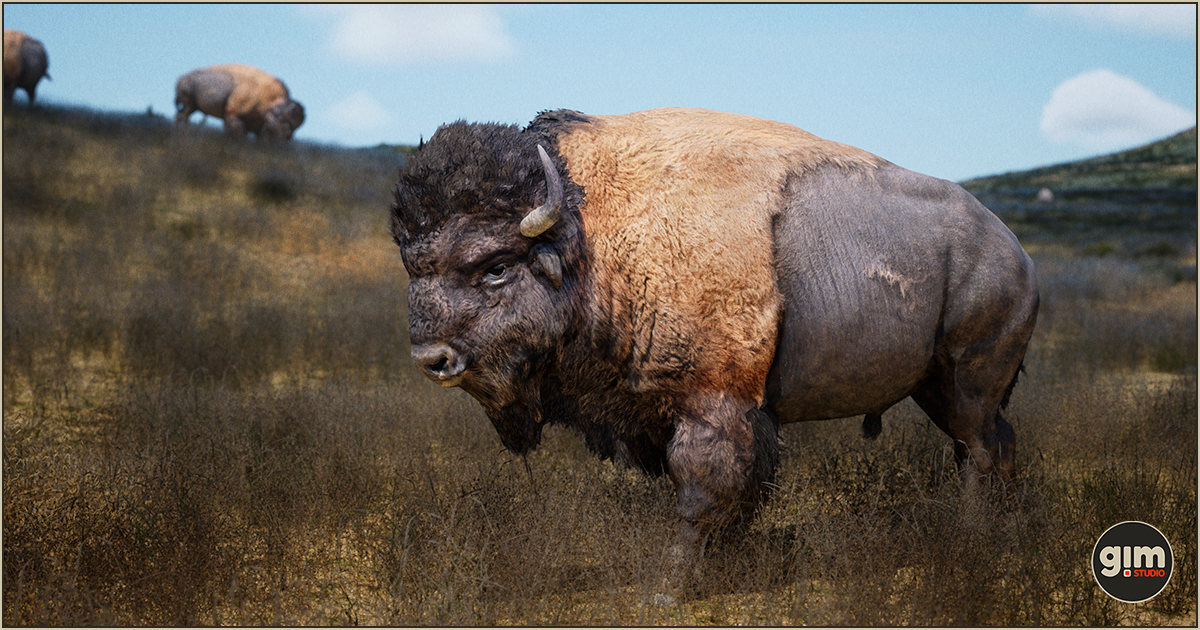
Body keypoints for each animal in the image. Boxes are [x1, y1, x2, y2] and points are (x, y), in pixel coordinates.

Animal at [390, 107, 1038, 599]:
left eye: (496, 267)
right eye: (412, 266)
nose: (432, 359)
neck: (592, 237)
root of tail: (1016, 252)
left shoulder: (715, 404)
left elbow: (705, 494)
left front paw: (668, 588)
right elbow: (735, 500)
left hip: (968, 377)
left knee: (980, 451)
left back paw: (973, 538)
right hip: (935, 386)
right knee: (994, 446)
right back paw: (1005, 534)